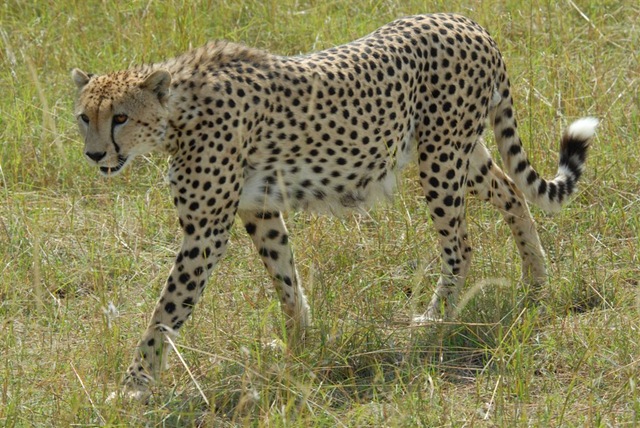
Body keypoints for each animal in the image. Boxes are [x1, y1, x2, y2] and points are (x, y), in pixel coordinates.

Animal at [71, 13, 598, 398]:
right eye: (84, 117)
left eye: (120, 117)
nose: (94, 155)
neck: (178, 112)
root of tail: (465, 20)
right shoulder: (259, 210)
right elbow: (286, 279)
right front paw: (299, 346)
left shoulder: (206, 230)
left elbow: (166, 310)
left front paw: (134, 386)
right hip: (460, 153)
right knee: (513, 192)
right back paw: (535, 279)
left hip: (442, 159)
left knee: (461, 244)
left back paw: (435, 320)